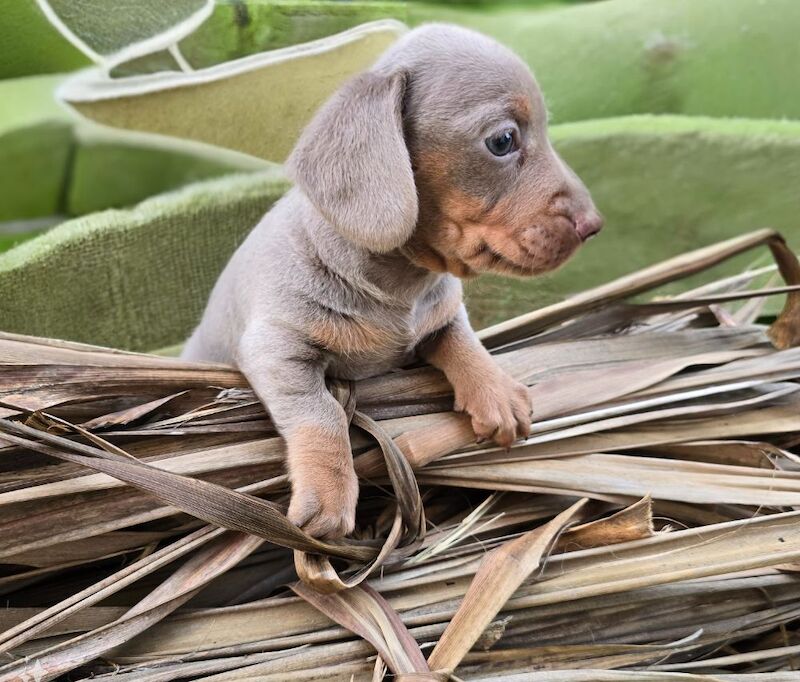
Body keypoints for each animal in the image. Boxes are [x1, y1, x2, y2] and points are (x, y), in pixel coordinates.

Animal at [184, 25, 604, 536]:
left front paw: (495, 390)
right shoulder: (276, 349)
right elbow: (320, 412)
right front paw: (328, 490)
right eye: (504, 140)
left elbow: (463, 341)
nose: (593, 225)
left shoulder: (443, 314)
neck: (403, 283)